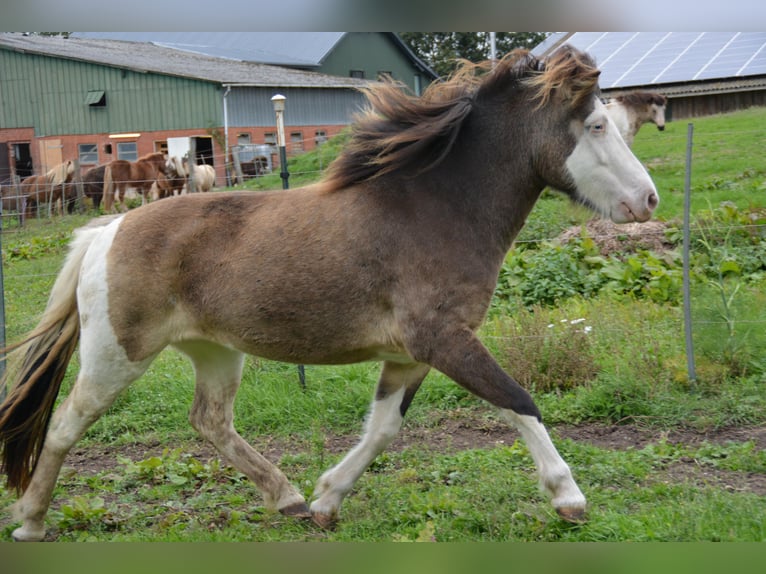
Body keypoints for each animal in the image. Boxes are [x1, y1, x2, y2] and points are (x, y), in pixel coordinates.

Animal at [0, 45, 659, 541]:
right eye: (596, 125)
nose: (647, 201)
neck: (436, 210)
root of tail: (104, 231)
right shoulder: (444, 340)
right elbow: (517, 400)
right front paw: (569, 497)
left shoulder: (411, 355)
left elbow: (382, 429)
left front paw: (325, 501)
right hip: (116, 356)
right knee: (65, 426)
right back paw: (30, 522)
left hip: (216, 352)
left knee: (210, 421)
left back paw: (287, 498)